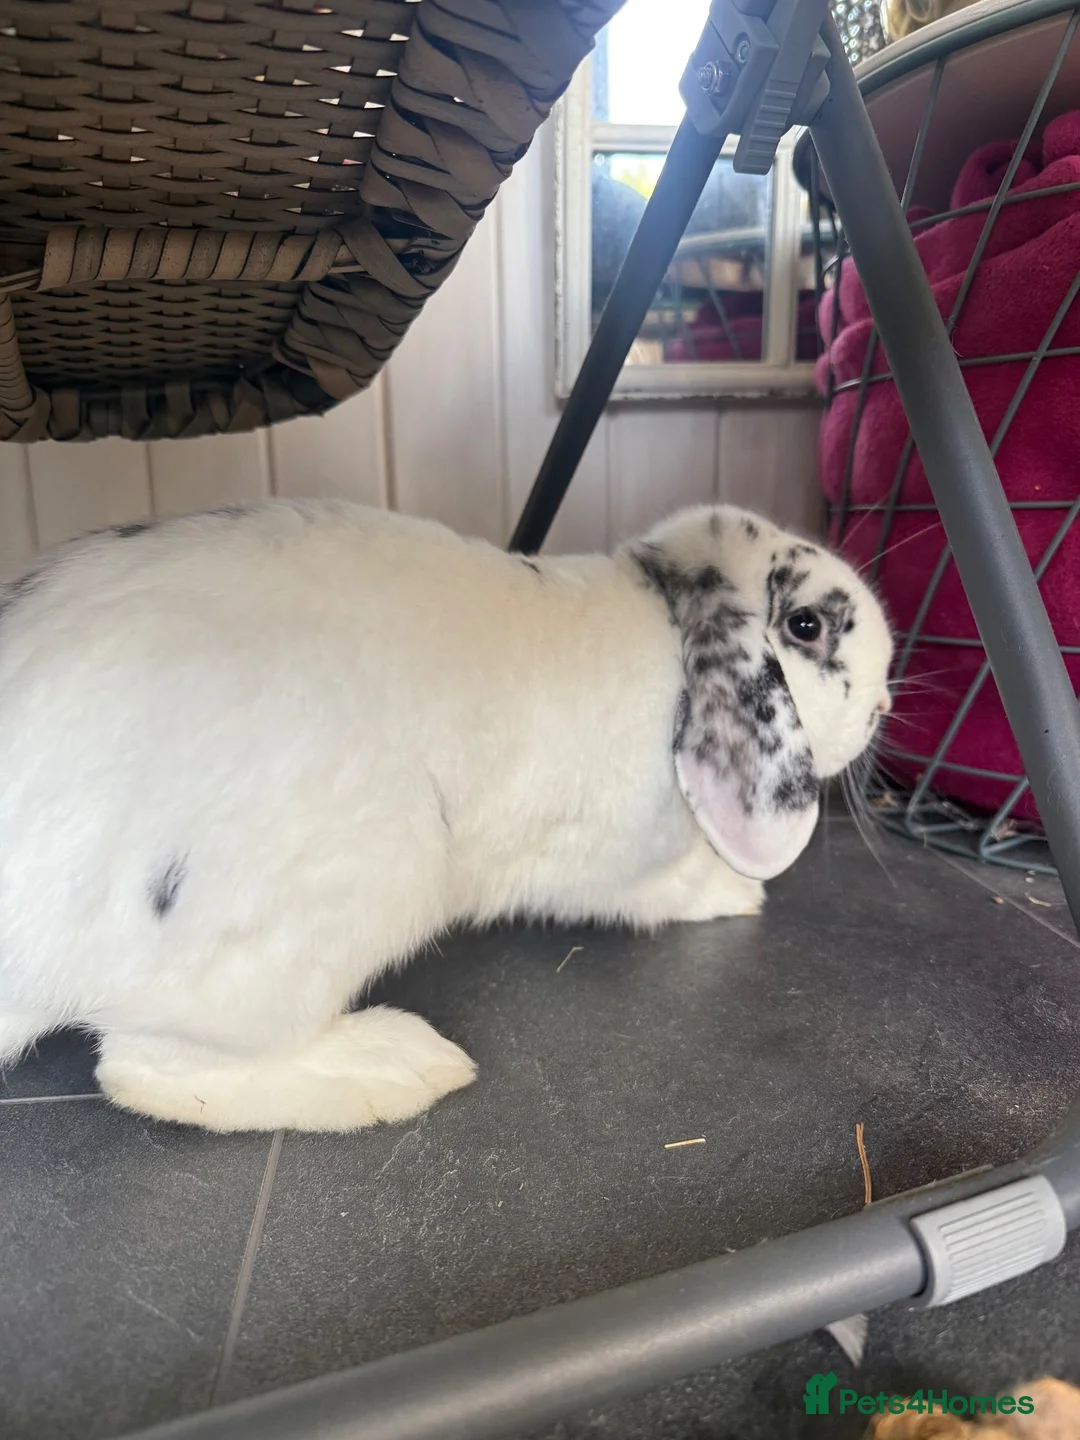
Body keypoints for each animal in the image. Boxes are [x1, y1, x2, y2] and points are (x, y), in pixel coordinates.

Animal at [0, 499, 892, 1133]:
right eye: (806, 626)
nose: (885, 703)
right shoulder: (607, 866)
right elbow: (654, 892)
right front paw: (732, 892)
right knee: (151, 1067)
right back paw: (393, 1067)